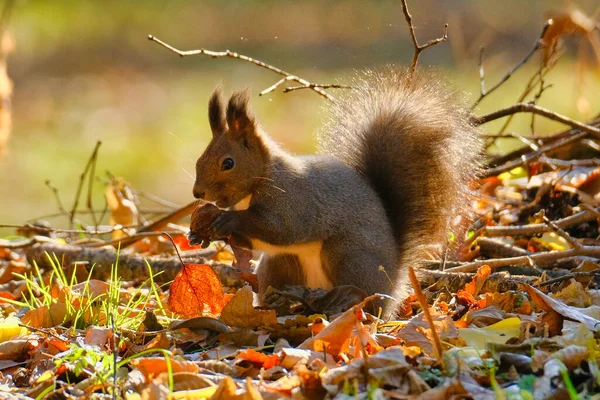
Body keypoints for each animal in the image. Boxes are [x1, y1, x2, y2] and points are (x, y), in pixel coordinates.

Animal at [188, 66, 482, 316]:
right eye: (199, 158)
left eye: (228, 163)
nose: (197, 193)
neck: (261, 178)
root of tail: (393, 281)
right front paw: (203, 232)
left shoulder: (292, 199)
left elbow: (281, 229)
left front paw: (226, 219)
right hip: (280, 265)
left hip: (347, 255)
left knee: (367, 298)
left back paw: (346, 303)